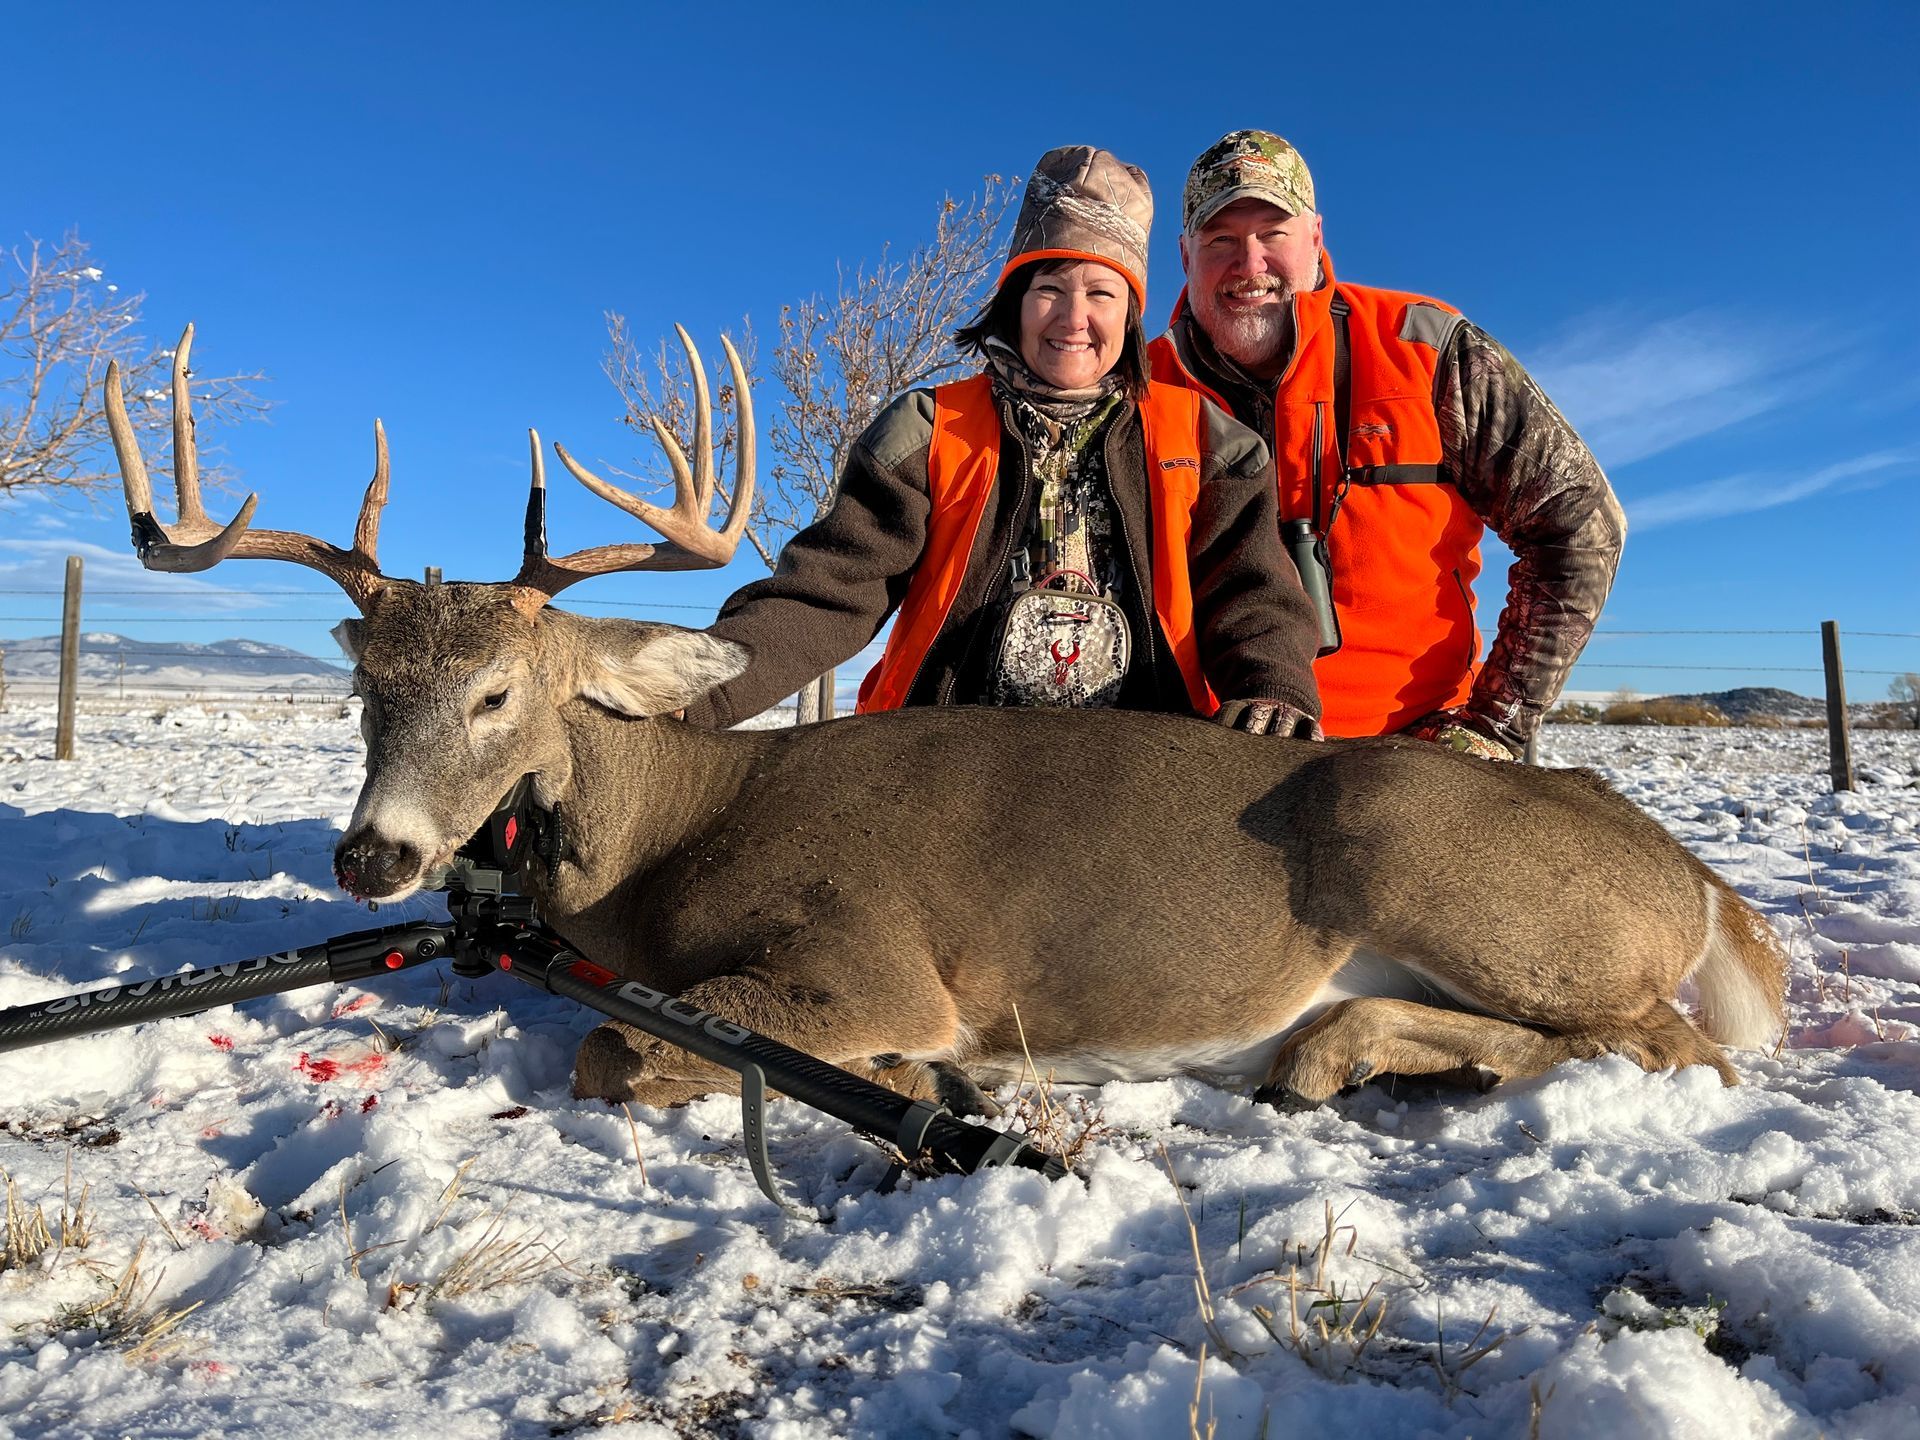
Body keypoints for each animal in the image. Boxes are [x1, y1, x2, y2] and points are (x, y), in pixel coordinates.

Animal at [107, 325, 1788, 1118]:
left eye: (498, 690)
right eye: (361, 685)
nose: (372, 856)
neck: (669, 841)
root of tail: (1702, 885)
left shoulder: (872, 963)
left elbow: (616, 1053)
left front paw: (927, 1085)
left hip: (1445, 868)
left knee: (1670, 1046)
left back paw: (1327, 1053)